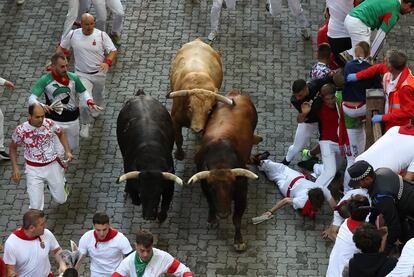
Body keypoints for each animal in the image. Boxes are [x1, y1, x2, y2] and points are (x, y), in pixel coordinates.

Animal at [115, 90, 182, 222]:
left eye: (158, 193)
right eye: (142, 193)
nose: (148, 216)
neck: (150, 160)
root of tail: (141, 95)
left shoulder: (168, 186)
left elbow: (165, 204)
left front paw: (161, 216)